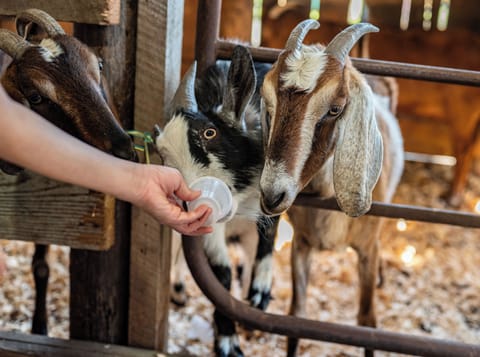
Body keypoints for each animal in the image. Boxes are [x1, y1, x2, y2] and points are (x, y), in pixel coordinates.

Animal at [156, 46, 280, 354]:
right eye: (161, 153)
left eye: (210, 132)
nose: (197, 200)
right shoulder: (212, 229)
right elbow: (220, 275)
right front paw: (226, 341)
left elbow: (266, 245)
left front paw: (259, 295)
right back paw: (178, 292)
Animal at [258, 20, 404, 354]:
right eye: (268, 101)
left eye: (335, 109)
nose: (272, 194)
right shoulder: (301, 244)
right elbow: (296, 317)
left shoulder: (366, 248)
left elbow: (367, 322)